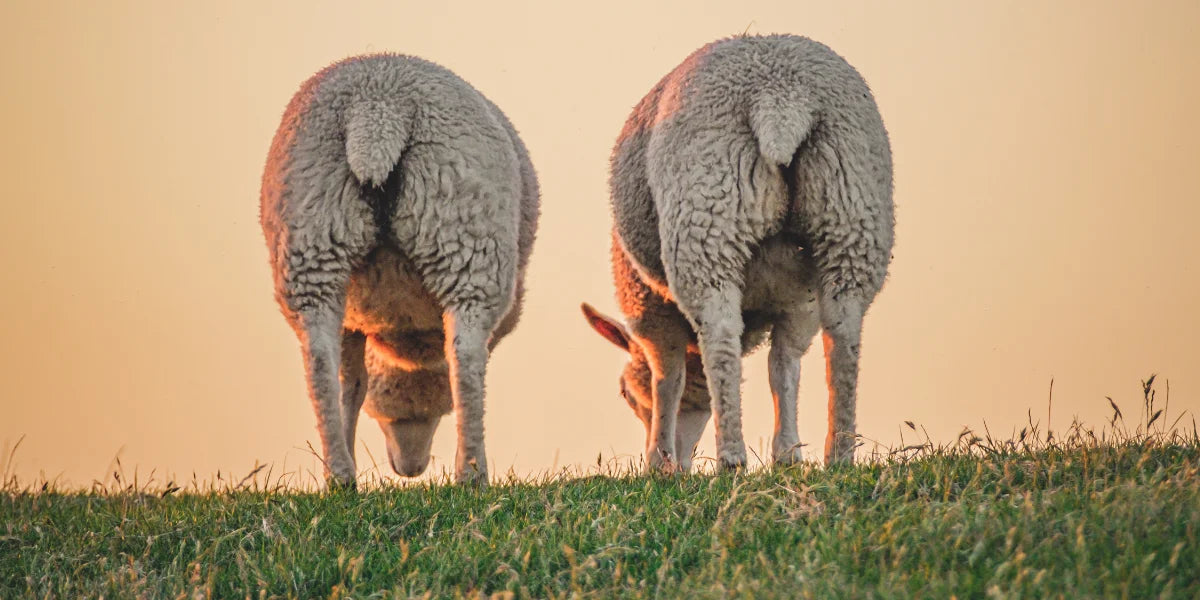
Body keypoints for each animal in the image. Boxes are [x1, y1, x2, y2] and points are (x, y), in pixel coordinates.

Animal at [260, 54, 539, 487]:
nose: (410, 470)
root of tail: (378, 110)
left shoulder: (354, 318)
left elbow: (353, 384)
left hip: (313, 234)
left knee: (321, 363)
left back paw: (339, 475)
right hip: (468, 236)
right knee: (465, 359)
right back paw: (471, 472)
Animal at [582, 34, 893, 473]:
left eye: (625, 392)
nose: (681, 463)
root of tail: (780, 98)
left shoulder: (649, 310)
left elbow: (667, 379)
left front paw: (657, 463)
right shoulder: (798, 299)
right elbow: (784, 367)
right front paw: (788, 455)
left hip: (708, 211)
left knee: (721, 334)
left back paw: (730, 459)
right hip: (850, 207)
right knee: (842, 334)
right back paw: (839, 455)